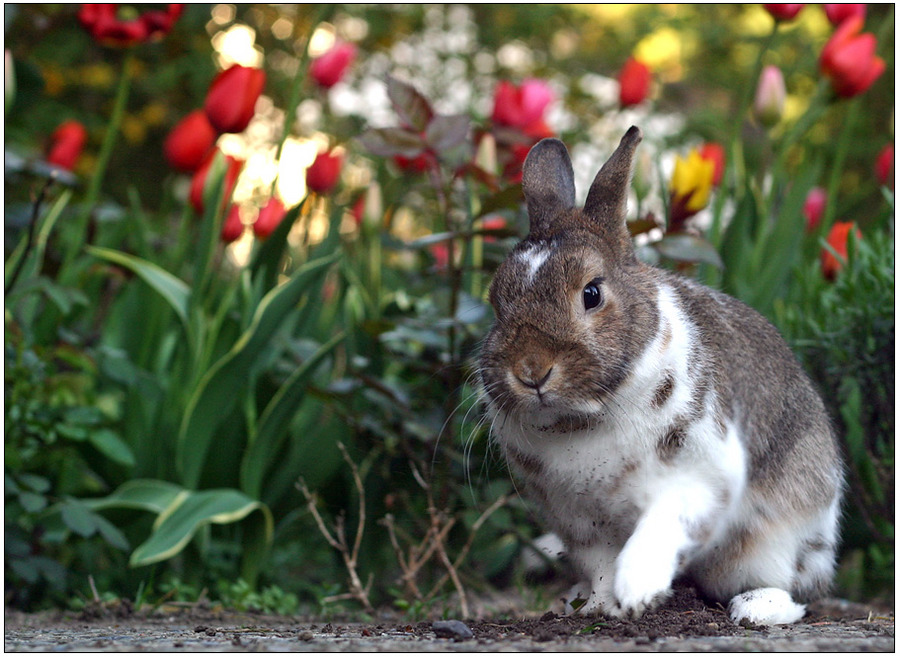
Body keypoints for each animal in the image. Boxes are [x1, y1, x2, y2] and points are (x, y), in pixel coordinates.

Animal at [478, 127, 844, 624]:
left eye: (591, 294)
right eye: (496, 302)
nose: (531, 371)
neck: (583, 418)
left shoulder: (698, 477)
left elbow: (658, 530)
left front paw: (638, 591)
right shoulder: (581, 523)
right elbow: (599, 565)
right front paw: (602, 605)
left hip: (775, 539)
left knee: (792, 589)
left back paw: (754, 608)